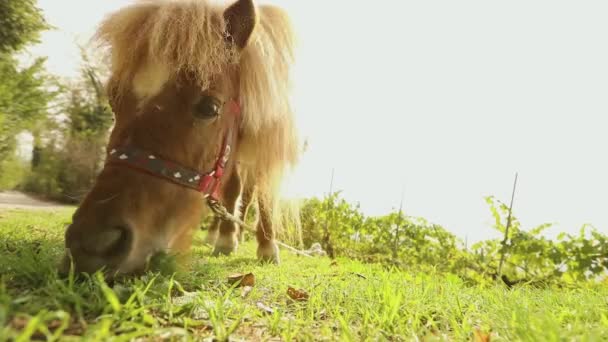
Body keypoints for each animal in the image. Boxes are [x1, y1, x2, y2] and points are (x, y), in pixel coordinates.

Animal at [58, 0, 300, 278]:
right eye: (113, 102)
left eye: (209, 107)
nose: (91, 244)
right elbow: (232, 189)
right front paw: (227, 240)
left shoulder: (271, 141)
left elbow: (264, 195)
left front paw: (268, 247)